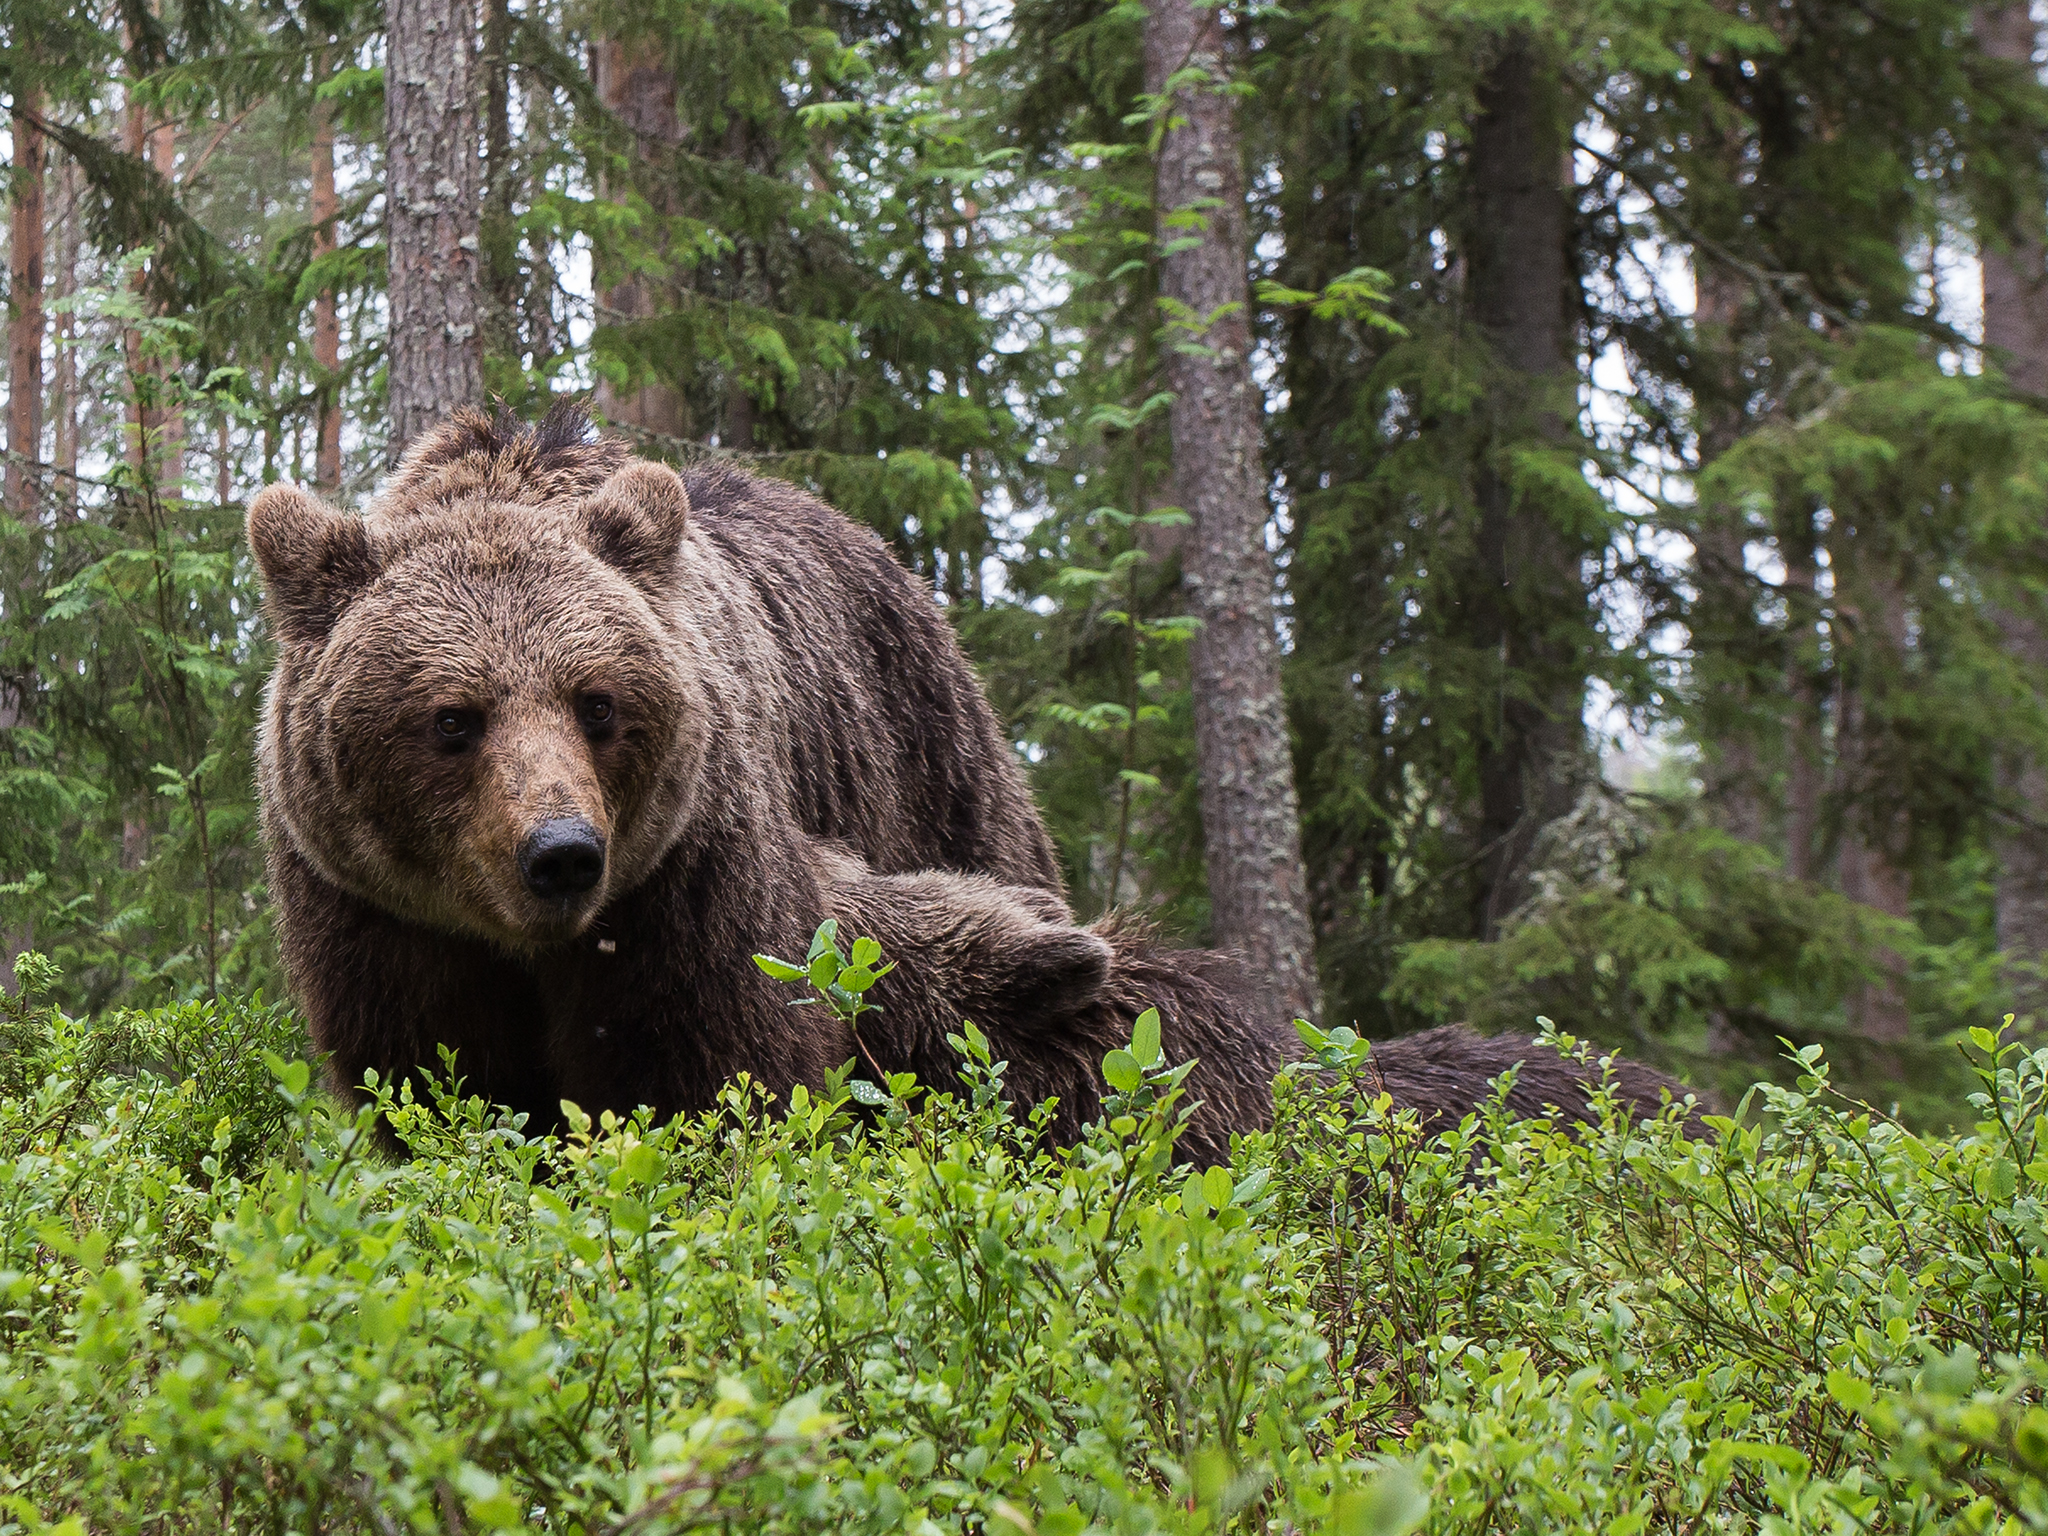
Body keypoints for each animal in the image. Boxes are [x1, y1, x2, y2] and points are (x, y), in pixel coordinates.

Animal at [247, 409, 1064, 1130]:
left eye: (597, 703)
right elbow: (445, 1075)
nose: (562, 853)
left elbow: (711, 1068)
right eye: (453, 718)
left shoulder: (683, 876)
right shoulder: (380, 914)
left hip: (931, 772)